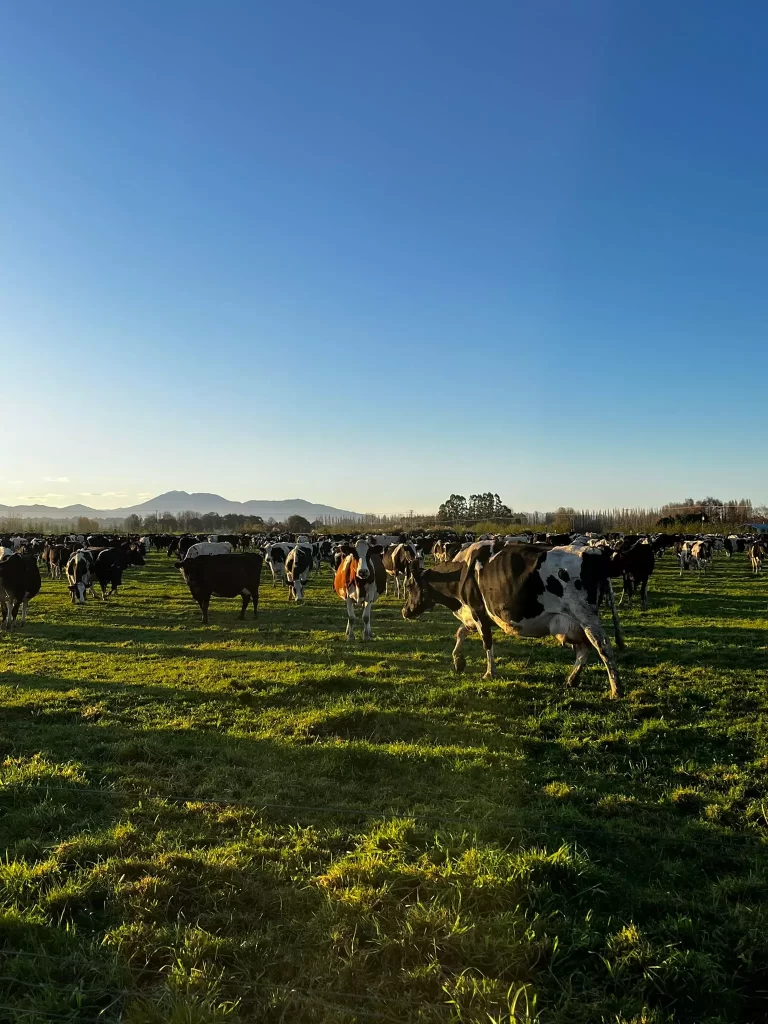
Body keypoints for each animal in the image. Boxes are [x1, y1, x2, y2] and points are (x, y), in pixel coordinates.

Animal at [399, 540, 622, 700]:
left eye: (409, 586)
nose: (404, 611)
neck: (462, 572)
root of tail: (594, 552)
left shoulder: (478, 611)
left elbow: (487, 643)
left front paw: (489, 673)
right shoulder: (472, 614)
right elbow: (460, 632)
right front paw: (458, 661)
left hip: (585, 616)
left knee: (603, 647)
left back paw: (616, 689)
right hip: (572, 623)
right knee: (584, 649)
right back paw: (573, 679)